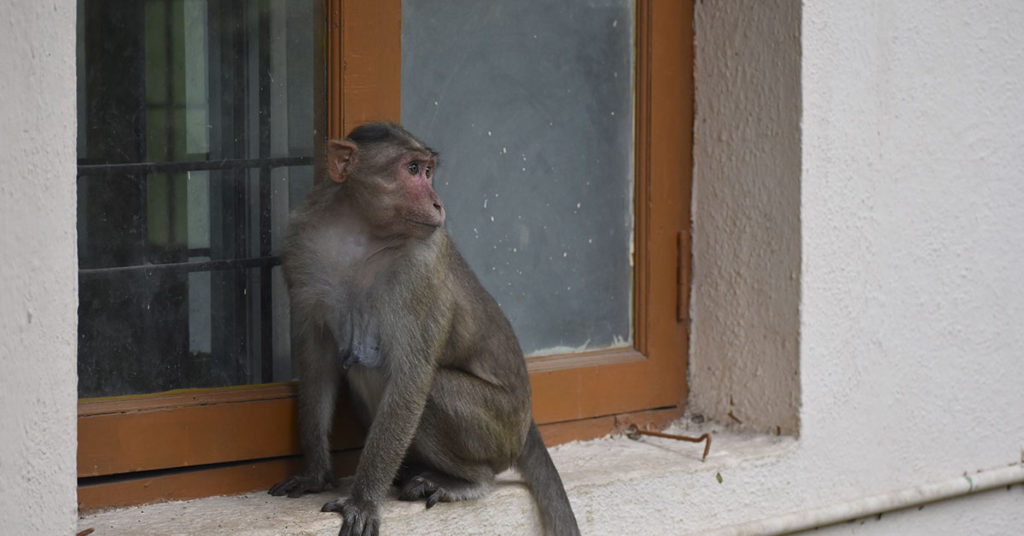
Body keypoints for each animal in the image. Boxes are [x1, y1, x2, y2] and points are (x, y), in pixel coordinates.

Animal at [269, 122, 580, 536]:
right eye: (413, 169)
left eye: (428, 171)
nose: (437, 203)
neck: (360, 230)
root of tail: (526, 425)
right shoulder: (300, 243)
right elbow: (317, 362)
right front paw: (316, 474)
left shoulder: (420, 264)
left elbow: (411, 379)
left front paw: (363, 501)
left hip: (497, 430)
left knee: (427, 386)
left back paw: (468, 481)